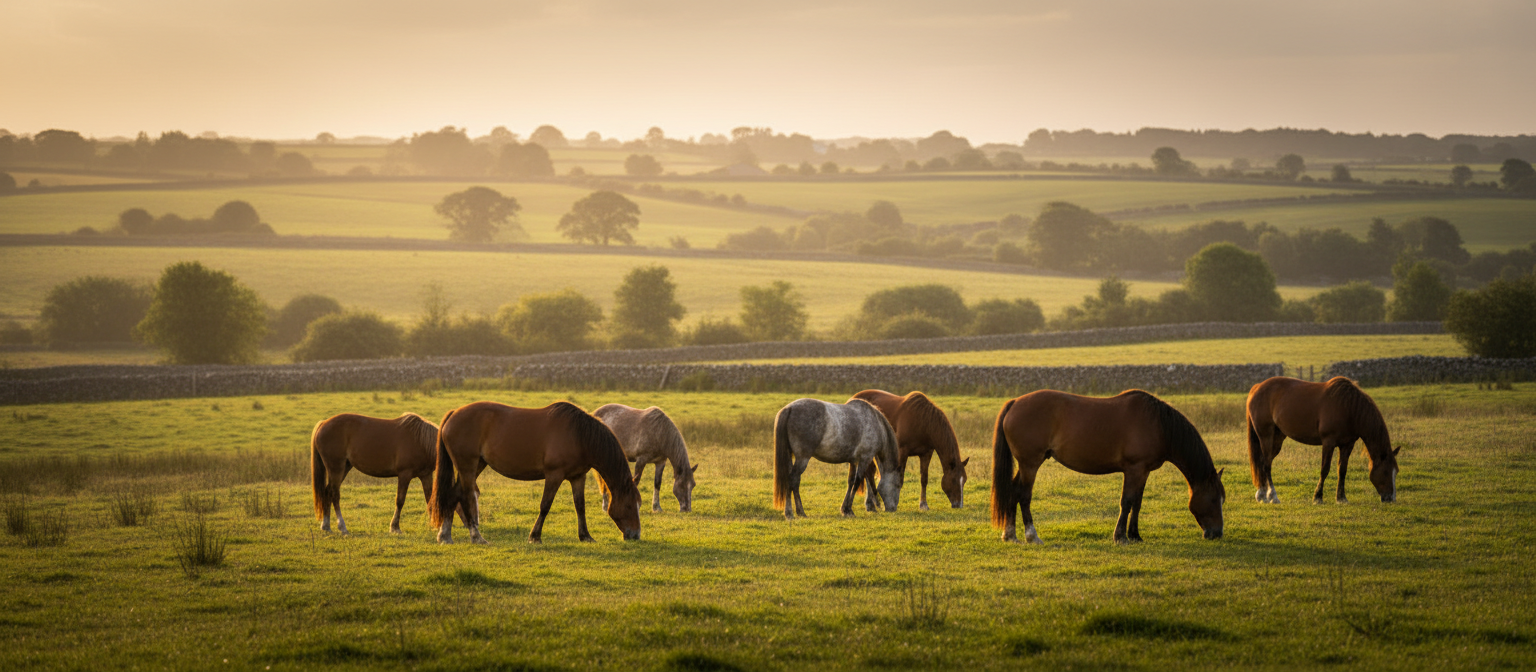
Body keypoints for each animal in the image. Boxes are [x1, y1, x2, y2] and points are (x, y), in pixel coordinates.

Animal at [310, 412, 439, 534]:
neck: (420, 442)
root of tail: (323, 423)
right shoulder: (404, 475)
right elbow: (400, 501)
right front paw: (395, 527)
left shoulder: (426, 475)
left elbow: (430, 499)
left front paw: (434, 525)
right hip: (336, 468)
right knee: (334, 494)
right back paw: (342, 527)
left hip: (344, 468)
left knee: (327, 492)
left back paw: (326, 526)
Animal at [429, 401, 642, 544]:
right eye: (630, 506)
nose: (635, 535)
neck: (578, 435)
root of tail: (453, 414)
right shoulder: (554, 475)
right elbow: (545, 505)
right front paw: (535, 536)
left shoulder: (577, 477)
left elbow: (580, 506)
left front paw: (585, 536)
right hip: (468, 466)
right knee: (465, 496)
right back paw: (477, 537)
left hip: (477, 465)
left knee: (453, 494)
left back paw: (445, 536)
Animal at [773, 397, 903, 518]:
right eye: (898, 485)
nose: (892, 509)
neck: (875, 424)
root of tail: (789, 408)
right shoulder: (865, 459)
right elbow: (857, 482)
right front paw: (849, 510)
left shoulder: (854, 461)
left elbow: (850, 482)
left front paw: (845, 510)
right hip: (802, 458)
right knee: (793, 479)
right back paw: (791, 513)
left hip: (791, 456)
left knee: (794, 482)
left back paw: (799, 512)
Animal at [990, 389, 1225, 544]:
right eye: (1215, 499)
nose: (1217, 533)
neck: (1158, 425)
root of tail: (1015, 402)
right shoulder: (1134, 469)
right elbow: (1127, 502)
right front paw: (1120, 536)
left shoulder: (1144, 471)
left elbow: (1137, 503)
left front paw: (1135, 535)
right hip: (1031, 464)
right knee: (1023, 495)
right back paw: (1032, 536)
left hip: (1025, 465)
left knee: (1013, 491)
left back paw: (1010, 535)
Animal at [1245, 376, 1400, 505]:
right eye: (1386, 472)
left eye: (1396, 472)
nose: (1390, 498)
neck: (1349, 407)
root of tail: (1257, 387)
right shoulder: (1328, 442)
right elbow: (1324, 469)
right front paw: (1318, 497)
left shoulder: (1347, 445)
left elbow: (1342, 470)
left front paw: (1341, 498)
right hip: (1266, 435)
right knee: (1266, 464)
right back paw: (1273, 496)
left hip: (1277, 438)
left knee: (1264, 462)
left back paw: (1262, 494)